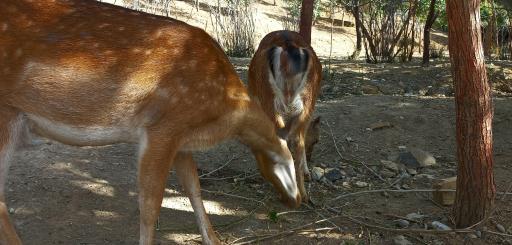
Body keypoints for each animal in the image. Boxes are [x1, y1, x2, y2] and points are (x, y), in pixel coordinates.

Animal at [0, 0, 302, 244]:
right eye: (288, 162)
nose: (298, 199)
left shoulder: (182, 139)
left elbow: (193, 186)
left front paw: (213, 239)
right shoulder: (162, 127)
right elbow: (149, 205)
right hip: (6, 120)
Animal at [247, 30, 320, 203]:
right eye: (317, 140)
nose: (311, 156)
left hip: (270, 102)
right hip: (305, 103)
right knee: (295, 142)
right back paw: (303, 195)